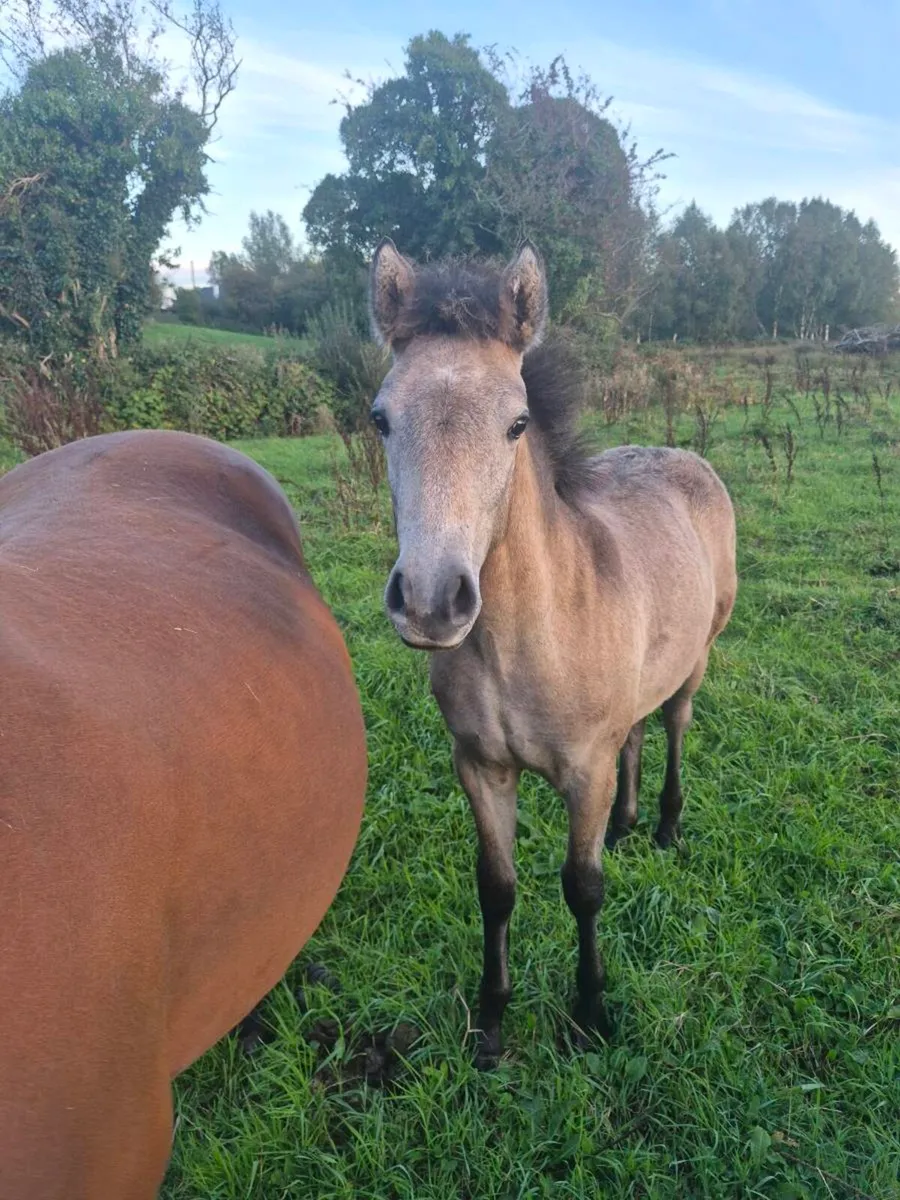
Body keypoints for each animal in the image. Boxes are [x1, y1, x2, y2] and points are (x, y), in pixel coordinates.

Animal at [368, 240, 737, 1066]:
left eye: (517, 423)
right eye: (380, 418)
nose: (433, 601)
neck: (526, 642)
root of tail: (685, 457)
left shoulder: (584, 771)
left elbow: (582, 887)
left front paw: (592, 1012)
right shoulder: (479, 766)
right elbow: (497, 886)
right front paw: (491, 1023)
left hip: (699, 659)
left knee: (672, 726)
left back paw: (664, 828)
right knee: (638, 729)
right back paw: (627, 825)